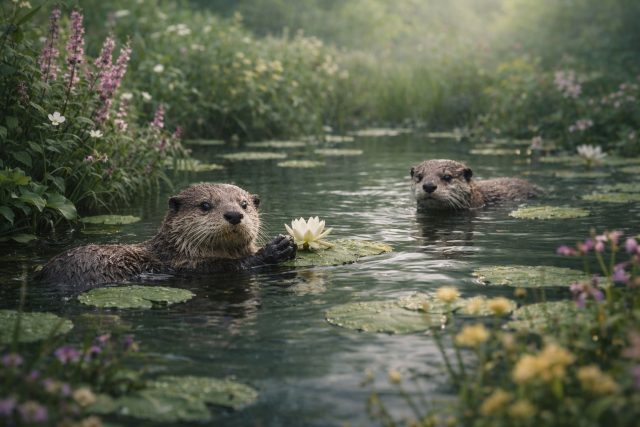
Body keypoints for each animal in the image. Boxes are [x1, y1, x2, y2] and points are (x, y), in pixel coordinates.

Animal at [38, 183, 296, 289]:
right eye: (205, 205)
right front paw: (276, 248)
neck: (176, 250)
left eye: (244, 204)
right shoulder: (187, 265)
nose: (234, 215)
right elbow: (229, 266)